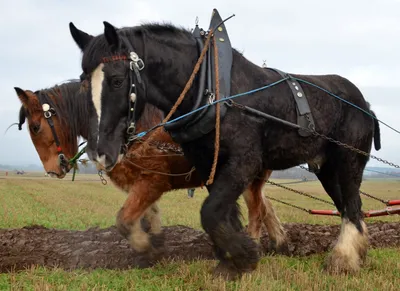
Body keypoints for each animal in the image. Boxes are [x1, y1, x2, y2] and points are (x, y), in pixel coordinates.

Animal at [12, 80, 288, 266]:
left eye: (35, 127)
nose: (52, 171)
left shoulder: (153, 180)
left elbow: (124, 220)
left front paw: (146, 248)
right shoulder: (140, 182)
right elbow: (149, 216)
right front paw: (155, 247)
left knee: (257, 210)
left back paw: (252, 248)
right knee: (266, 206)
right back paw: (279, 243)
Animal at [69, 13, 382, 278]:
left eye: (117, 80)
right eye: (84, 82)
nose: (99, 152)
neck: (211, 90)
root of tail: (364, 103)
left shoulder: (244, 162)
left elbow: (209, 212)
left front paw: (245, 256)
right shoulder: (211, 164)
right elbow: (224, 213)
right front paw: (230, 261)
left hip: (349, 160)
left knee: (351, 205)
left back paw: (343, 259)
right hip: (326, 168)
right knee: (348, 206)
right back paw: (357, 253)